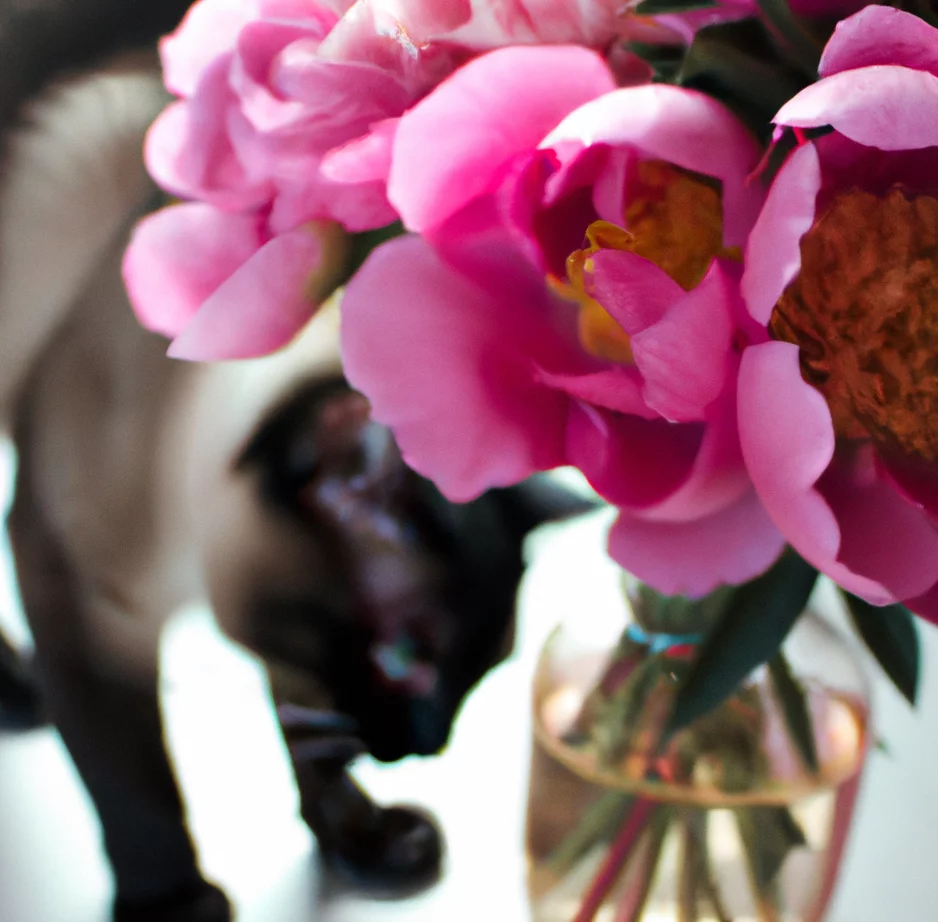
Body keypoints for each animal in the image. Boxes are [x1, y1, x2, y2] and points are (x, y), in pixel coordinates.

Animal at [0, 3, 588, 916]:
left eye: (477, 671)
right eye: (404, 661)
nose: (423, 748)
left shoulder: (292, 644)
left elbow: (308, 733)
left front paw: (363, 843)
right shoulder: (76, 588)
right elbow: (135, 784)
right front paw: (175, 902)